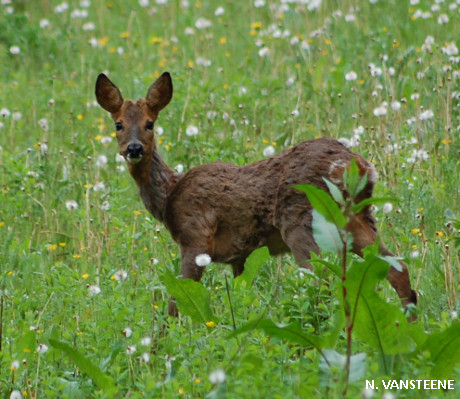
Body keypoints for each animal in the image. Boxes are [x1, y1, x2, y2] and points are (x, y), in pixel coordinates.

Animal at [96, 72, 416, 318]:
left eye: (150, 123)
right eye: (118, 124)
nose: (134, 148)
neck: (170, 195)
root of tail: (356, 165)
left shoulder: (196, 238)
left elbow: (177, 303)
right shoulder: (241, 255)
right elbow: (242, 296)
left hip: (303, 222)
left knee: (322, 284)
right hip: (358, 219)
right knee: (398, 268)